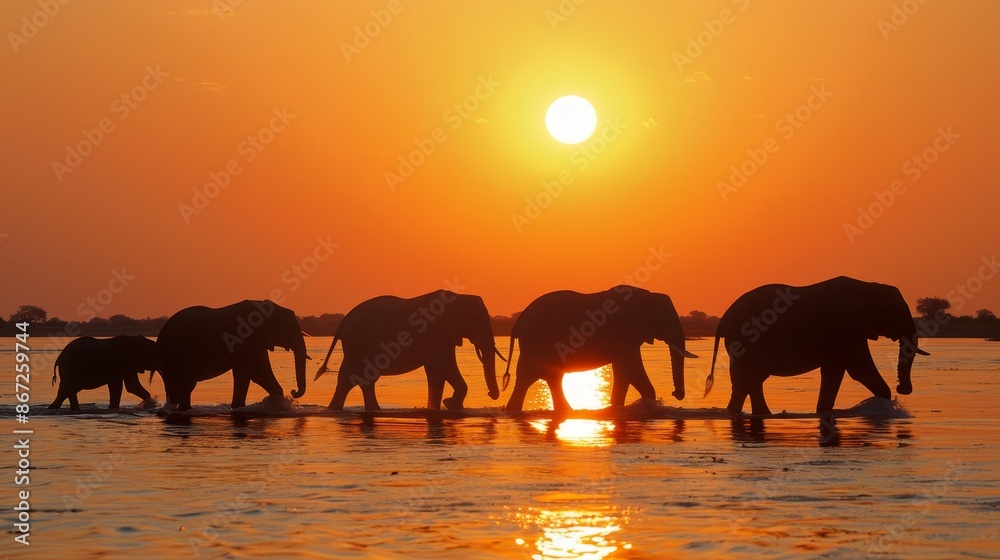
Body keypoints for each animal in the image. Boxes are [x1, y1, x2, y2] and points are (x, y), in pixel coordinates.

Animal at [156, 300, 309, 411]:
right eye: (289, 329)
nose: (293, 391)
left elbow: (244, 374)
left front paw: (238, 407)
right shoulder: (250, 338)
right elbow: (258, 373)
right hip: (177, 353)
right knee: (185, 385)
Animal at [314, 290, 502, 410]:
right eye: (475, 322)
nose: (490, 393)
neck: (458, 298)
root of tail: (343, 322)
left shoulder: (444, 336)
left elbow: (442, 369)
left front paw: (443, 406)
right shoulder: (434, 334)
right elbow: (441, 367)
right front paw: (445, 406)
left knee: (362, 379)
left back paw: (371, 410)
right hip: (357, 344)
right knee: (351, 378)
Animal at [502, 285, 698, 411]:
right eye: (666, 320)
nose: (675, 393)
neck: (647, 296)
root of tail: (519, 321)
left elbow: (624, 372)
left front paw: (617, 407)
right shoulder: (624, 334)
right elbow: (632, 369)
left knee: (544, 377)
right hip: (537, 342)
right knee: (532, 376)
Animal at [705, 276, 930, 415]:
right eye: (898, 314)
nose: (901, 388)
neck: (869, 286)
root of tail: (724, 318)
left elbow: (834, 370)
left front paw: (822, 412)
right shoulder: (846, 328)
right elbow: (858, 369)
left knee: (749, 380)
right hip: (745, 340)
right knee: (748, 379)